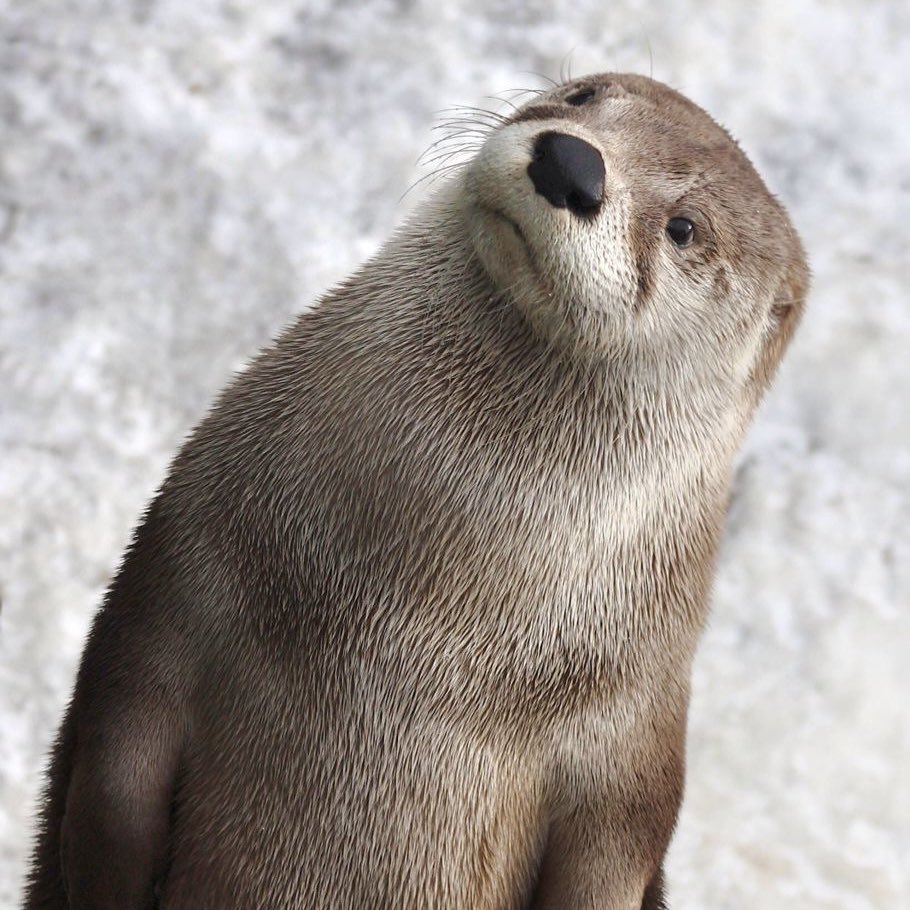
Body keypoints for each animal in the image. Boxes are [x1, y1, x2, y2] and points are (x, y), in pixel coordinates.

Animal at [24, 73, 808, 909]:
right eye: (584, 95)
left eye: (686, 227)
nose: (571, 162)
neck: (417, 631)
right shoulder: (176, 581)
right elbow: (113, 786)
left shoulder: (631, 751)